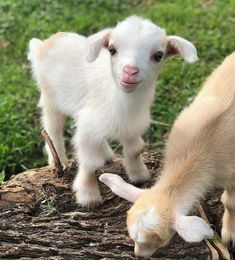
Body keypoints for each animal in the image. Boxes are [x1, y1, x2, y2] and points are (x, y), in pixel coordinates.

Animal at [28, 16, 198, 207]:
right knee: (53, 126)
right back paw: (58, 160)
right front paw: (88, 196)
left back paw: (106, 153)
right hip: (49, 97)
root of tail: (45, 43)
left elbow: (135, 150)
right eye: (112, 49)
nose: (130, 71)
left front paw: (139, 175)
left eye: (158, 55)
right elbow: (90, 163)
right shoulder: (87, 129)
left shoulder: (131, 127)